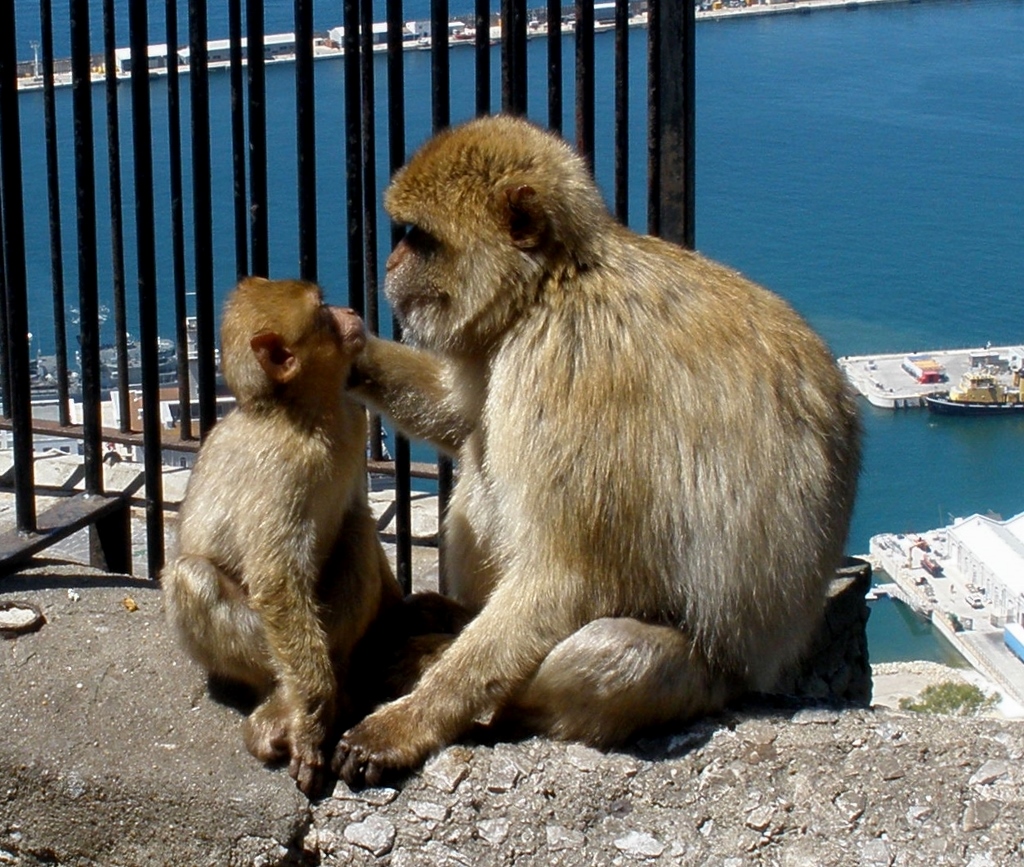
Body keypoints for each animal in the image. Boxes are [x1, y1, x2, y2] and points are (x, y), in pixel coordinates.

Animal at [162, 280, 399, 798]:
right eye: (323, 313)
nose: (350, 310)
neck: (306, 412)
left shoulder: (353, 423)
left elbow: (357, 511)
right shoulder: (283, 467)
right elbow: (276, 581)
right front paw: (309, 720)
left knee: (356, 533)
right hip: (261, 653)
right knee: (193, 578)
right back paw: (287, 706)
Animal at [333, 113, 856, 786]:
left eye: (419, 240)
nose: (391, 261)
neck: (555, 284)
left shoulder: (565, 369)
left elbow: (570, 575)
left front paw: (409, 723)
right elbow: (459, 410)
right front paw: (344, 344)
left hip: (705, 680)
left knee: (613, 650)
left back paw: (457, 670)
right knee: (480, 453)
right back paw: (452, 621)